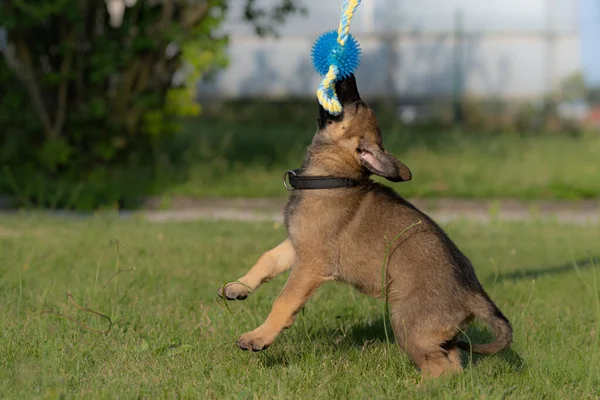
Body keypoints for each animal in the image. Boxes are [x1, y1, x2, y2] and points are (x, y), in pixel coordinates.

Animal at [220, 75, 510, 378]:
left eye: (356, 104)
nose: (348, 76)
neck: (332, 177)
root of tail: (473, 293)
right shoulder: (299, 244)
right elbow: (267, 259)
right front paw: (239, 287)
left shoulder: (311, 263)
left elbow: (284, 300)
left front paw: (258, 336)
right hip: (437, 335)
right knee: (450, 367)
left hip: (407, 322)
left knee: (438, 369)